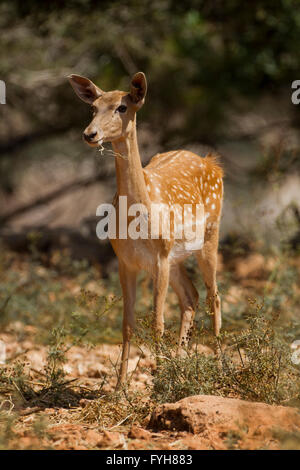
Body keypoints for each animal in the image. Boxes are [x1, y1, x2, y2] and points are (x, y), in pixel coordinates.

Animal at [68, 70, 223, 386]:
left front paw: (157, 382)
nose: (90, 134)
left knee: (214, 296)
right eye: (93, 108)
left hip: (208, 237)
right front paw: (120, 386)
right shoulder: (126, 260)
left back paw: (221, 368)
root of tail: (212, 163)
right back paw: (180, 364)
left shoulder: (160, 257)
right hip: (176, 257)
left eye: (122, 107)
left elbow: (156, 322)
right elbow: (127, 324)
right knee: (191, 297)